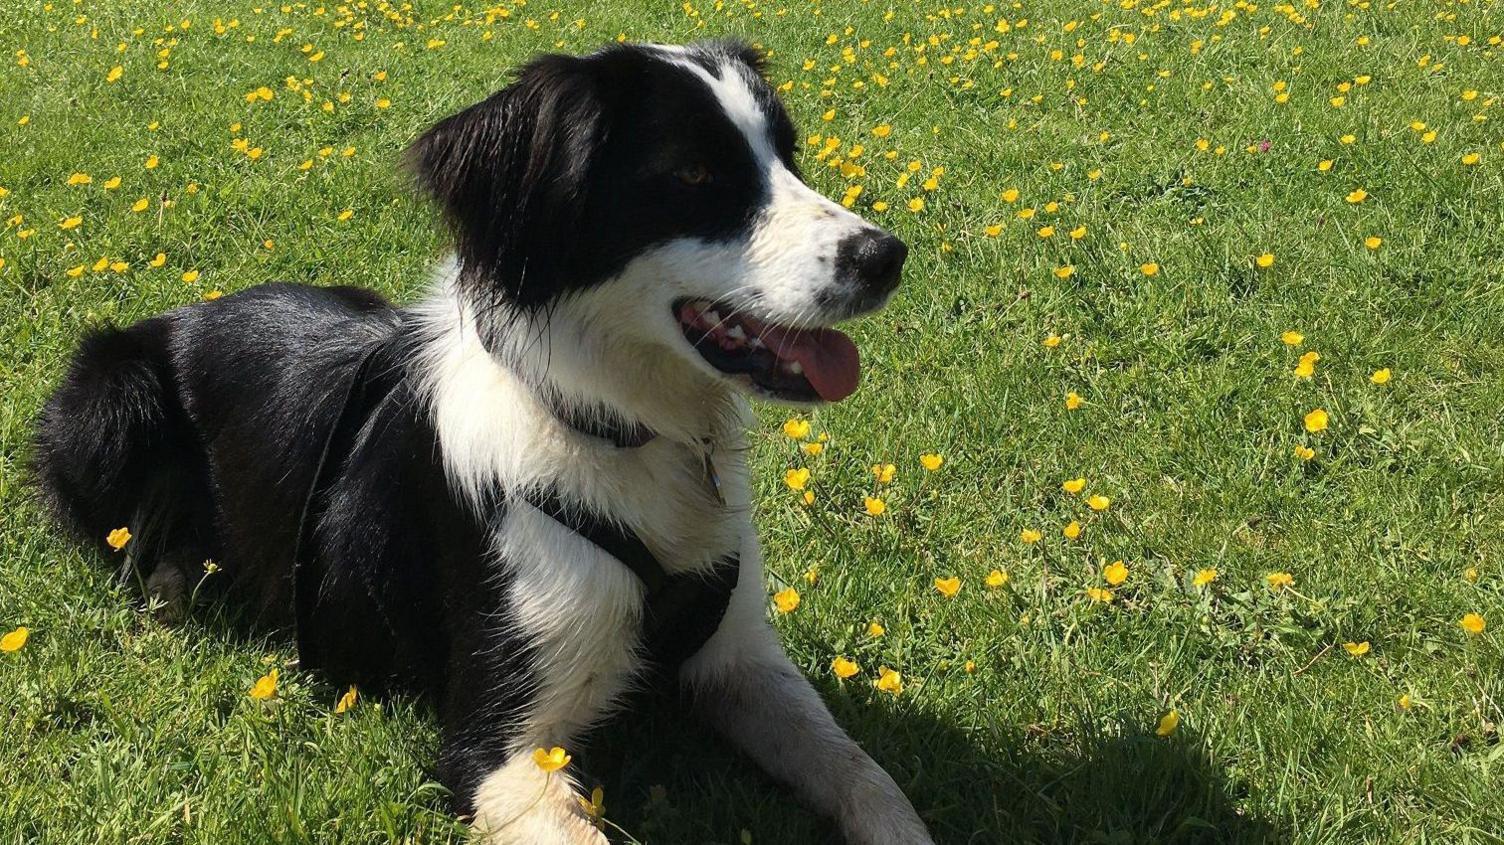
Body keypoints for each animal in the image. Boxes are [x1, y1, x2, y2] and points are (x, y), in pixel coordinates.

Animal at [32, 41, 926, 841]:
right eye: (696, 175)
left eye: (788, 152)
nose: (885, 256)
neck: (612, 426)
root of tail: (183, 311)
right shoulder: (496, 743)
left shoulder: (740, 656)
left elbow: (863, 770)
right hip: (110, 396)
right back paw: (173, 579)